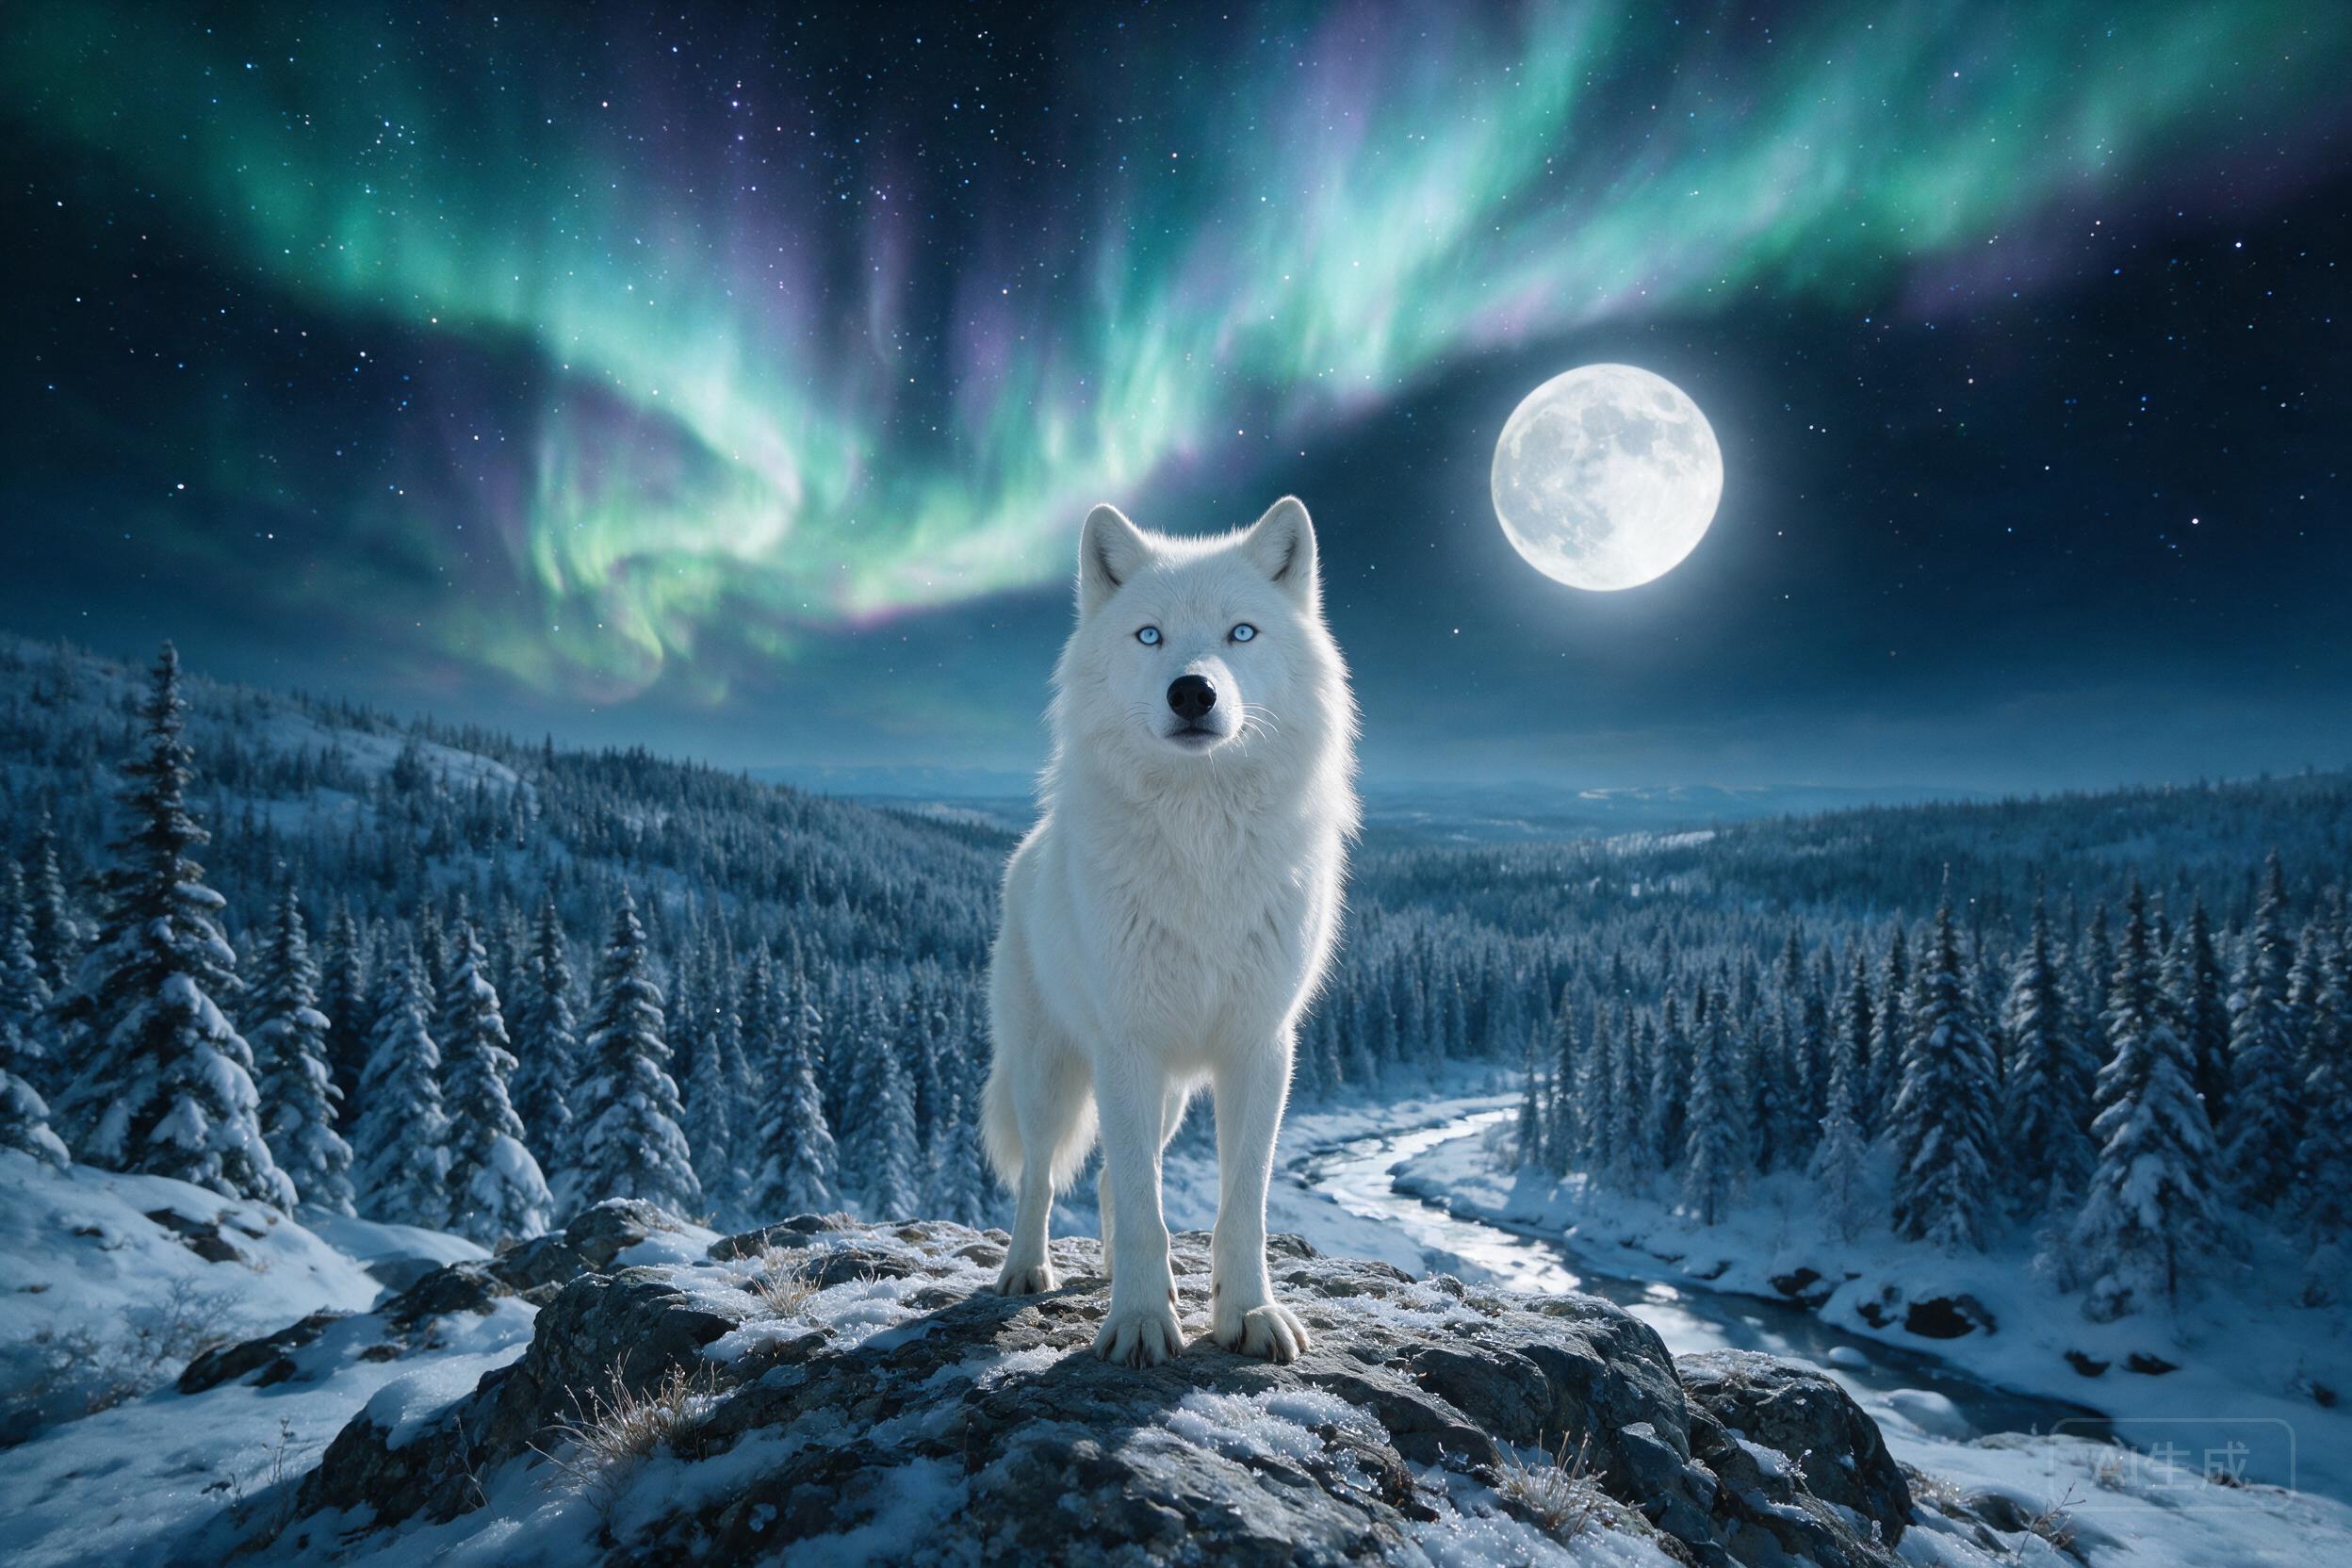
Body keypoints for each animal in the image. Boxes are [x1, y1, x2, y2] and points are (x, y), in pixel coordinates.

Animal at [981, 496, 1358, 1367]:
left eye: (1241, 632)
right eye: (1149, 636)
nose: (1193, 692)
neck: (1202, 844)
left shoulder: (1260, 1048)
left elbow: (1240, 1207)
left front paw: (1248, 1313)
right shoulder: (1127, 1047)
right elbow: (1142, 1208)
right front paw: (1141, 1323)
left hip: (1172, 1095)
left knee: (1115, 1180)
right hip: (1053, 1076)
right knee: (1044, 1177)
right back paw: (1026, 1270)